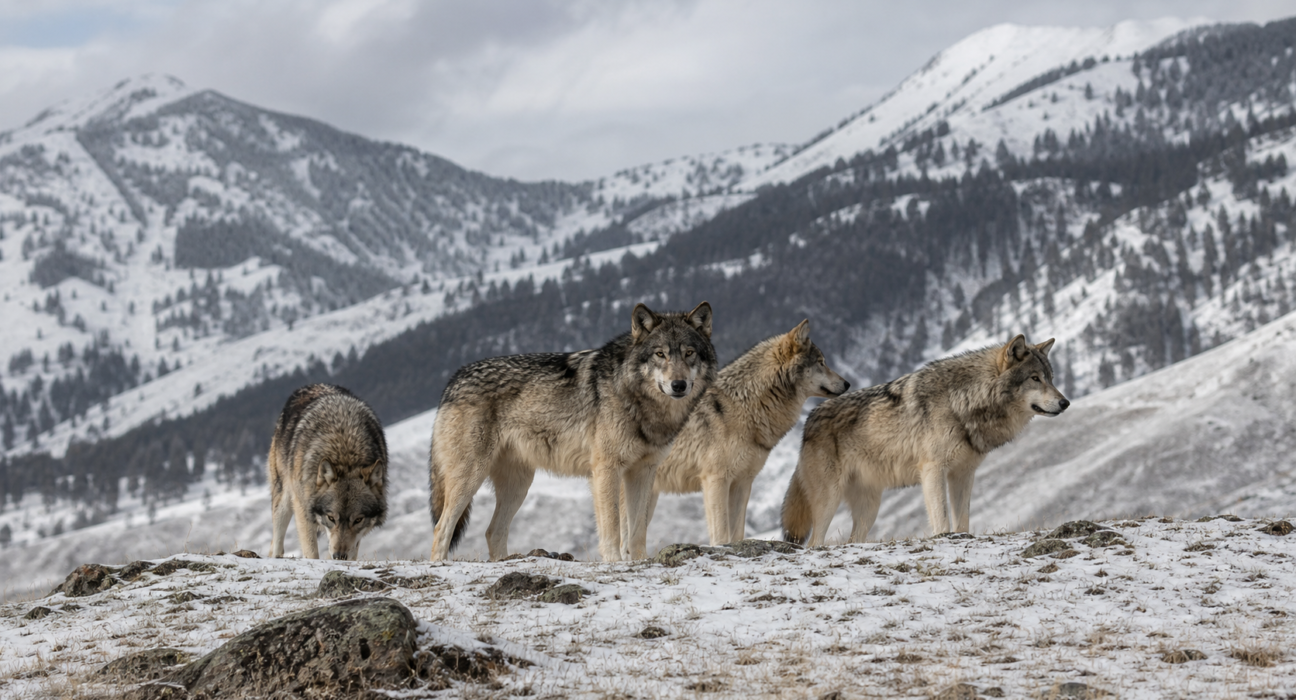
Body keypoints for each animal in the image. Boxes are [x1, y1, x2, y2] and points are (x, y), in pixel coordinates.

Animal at [268, 384, 388, 560]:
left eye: (358, 520)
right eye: (331, 518)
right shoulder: (303, 510)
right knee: (276, 543)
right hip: (283, 501)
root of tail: (312, 385)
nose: (339, 556)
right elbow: (311, 552)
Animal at [429, 301, 717, 562]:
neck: (635, 397)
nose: (678, 385)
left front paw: (639, 561)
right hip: (471, 478)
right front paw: (614, 562)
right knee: (441, 529)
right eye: (660, 354)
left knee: (493, 532)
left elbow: (637, 530)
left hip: (519, 485)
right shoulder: (606, 469)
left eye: (689, 353)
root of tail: (453, 380)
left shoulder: (644, 472)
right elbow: (613, 526)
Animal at [641, 320, 849, 549]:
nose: (847, 383)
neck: (744, 405)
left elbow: (737, 533)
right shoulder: (716, 480)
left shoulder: (742, 482)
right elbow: (721, 534)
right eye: (821, 362)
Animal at [782, 334, 1068, 546]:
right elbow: (941, 519)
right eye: (1034, 378)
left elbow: (963, 519)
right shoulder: (933, 470)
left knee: (852, 540)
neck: (963, 402)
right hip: (830, 500)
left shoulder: (963, 474)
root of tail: (809, 419)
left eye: (1051, 378)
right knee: (815, 543)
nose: (1065, 402)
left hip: (869, 508)